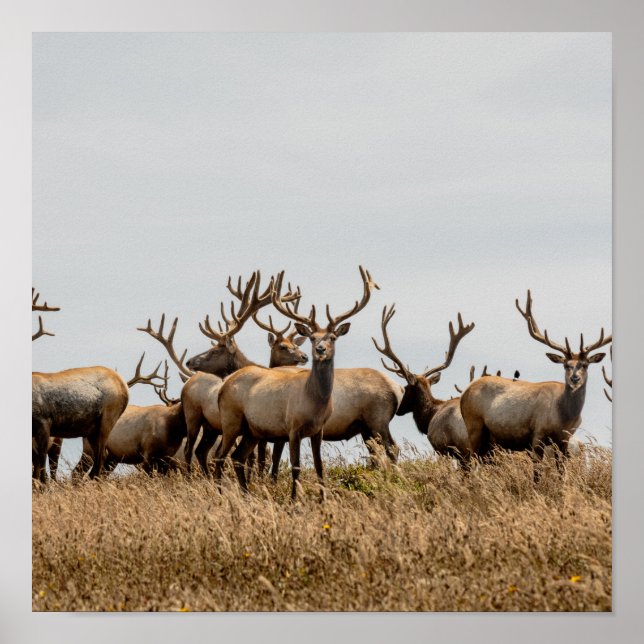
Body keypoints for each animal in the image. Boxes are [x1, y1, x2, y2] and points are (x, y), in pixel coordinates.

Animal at [214, 266, 378, 500]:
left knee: (237, 456)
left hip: (252, 429)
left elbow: (319, 466)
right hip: (230, 419)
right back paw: (220, 494)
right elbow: (296, 466)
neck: (314, 403)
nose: (320, 349)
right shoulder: (292, 427)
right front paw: (294, 500)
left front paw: (322, 499)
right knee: (220, 456)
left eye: (332, 337)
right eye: (312, 337)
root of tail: (223, 386)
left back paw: (246, 494)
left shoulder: (318, 430)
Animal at [459, 289, 611, 472]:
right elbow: (537, 471)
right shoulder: (537, 434)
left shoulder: (564, 440)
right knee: (470, 462)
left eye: (585, 365)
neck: (564, 418)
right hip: (473, 425)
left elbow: (562, 471)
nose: (575, 378)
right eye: (566, 365)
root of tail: (465, 392)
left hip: (490, 439)